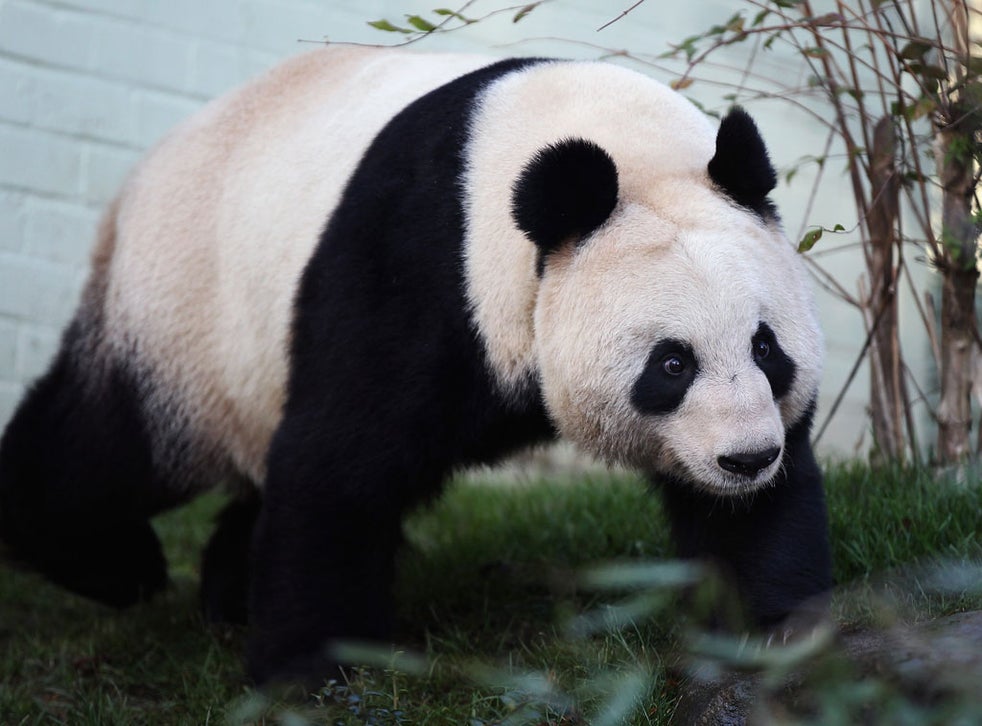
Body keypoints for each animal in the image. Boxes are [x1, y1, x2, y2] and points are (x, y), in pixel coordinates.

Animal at [0, 46, 831, 684]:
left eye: (765, 347)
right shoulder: (417, 264)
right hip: (184, 314)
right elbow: (340, 462)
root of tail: (137, 182)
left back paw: (227, 595)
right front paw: (309, 671)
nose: (746, 458)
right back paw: (118, 566)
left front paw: (769, 630)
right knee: (108, 446)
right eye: (671, 364)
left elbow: (749, 520)